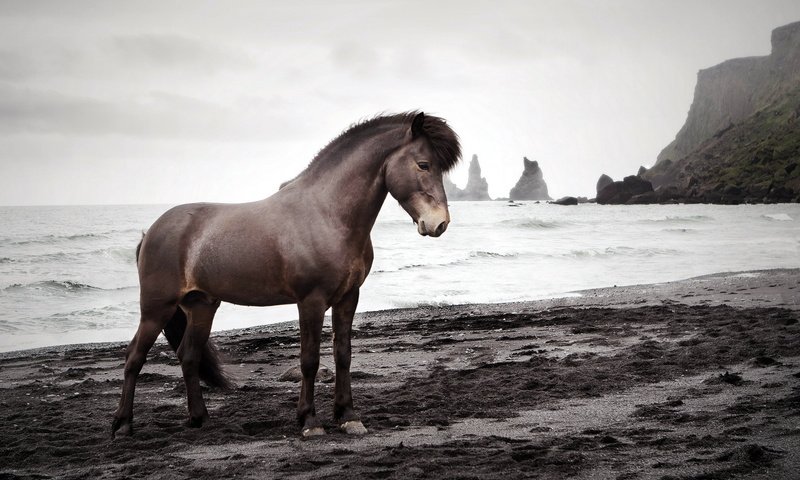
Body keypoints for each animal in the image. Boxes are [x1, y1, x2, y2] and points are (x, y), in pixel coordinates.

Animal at [114, 111, 462, 438]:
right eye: (423, 164)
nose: (439, 223)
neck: (327, 215)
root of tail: (152, 230)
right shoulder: (311, 301)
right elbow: (310, 360)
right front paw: (309, 421)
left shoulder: (348, 297)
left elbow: (343, 355)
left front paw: (348, 417)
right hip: (156, 309)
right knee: (134, 357)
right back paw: (122, 425)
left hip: (201, 306)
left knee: (188, 356)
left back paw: (200, 419)